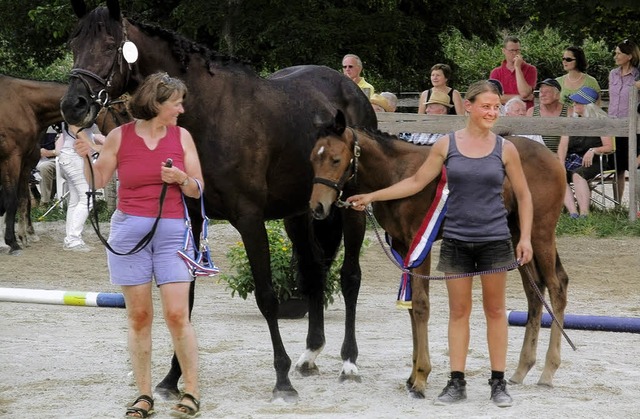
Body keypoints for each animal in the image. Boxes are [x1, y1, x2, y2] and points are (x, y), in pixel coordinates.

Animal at [0, 74, 67, 254]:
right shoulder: (11, 160)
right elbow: (10, 199)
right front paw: (11, 241)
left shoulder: (25, 164)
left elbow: (23, 200)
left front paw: (25, 236)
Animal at [61, 0, 376, 400]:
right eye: (75, 44)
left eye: (109, 44)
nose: (73, 106)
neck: (210, 115)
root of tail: (351, 90)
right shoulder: (192, 220)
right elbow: (185, 300)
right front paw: (171, 379)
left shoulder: (250, 219)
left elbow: (266, 296)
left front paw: (281, 379)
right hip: (299, 213)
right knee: (313, 269)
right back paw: (310, 353)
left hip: (353, 208)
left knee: (350, 276)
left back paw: (349, 362)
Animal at [310, 112, 568, 400]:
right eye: (312, 159)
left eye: (335, 159)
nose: (317, 207)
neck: (397, 175)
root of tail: (552, 158)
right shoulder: (404, 248)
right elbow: (412, 307)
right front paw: (412, 377)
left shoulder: (419, 246)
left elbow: (422, 306)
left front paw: (421, 378)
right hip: (518, 239)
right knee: (535, 291)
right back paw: (522, 369)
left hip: (539, 233)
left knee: (556, 287)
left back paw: (548, 370)